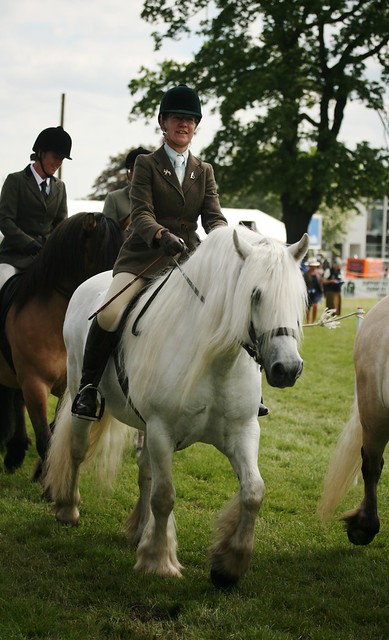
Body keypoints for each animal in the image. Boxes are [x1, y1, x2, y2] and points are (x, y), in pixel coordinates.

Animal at [0, 212, 123, 478]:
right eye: (103, 255)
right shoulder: (34, 384)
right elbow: (45, 438)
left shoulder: (70, 385)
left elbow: (55, 432)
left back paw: (15, 451)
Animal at [44, 226, 308, 592]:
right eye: (255, 295)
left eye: (298, 298)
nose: (288, 369)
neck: (218, 360)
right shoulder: (161, 429)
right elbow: (165, 496)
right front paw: (158, 560)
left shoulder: (242, 431)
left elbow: (254, 492)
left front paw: (229, 566)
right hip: (82, 395)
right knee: (78, 449)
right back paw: (68, 509)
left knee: (145, 470)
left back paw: (138, 529)